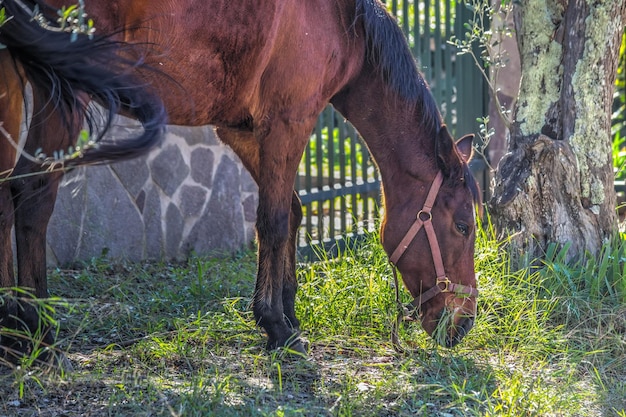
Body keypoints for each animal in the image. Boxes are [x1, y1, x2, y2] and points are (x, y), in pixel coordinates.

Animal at [0, 0, 480, 360]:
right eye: (462, 226)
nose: (465, 322)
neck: (347, 23)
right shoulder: (289, 122)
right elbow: (273, 221)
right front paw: (276, 326)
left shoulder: (243, 130)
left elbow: (291, 211)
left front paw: (287, 311)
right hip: (63, 88)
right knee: (33, 195)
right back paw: (37, 332)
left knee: (7, 194)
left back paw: (10, 325)